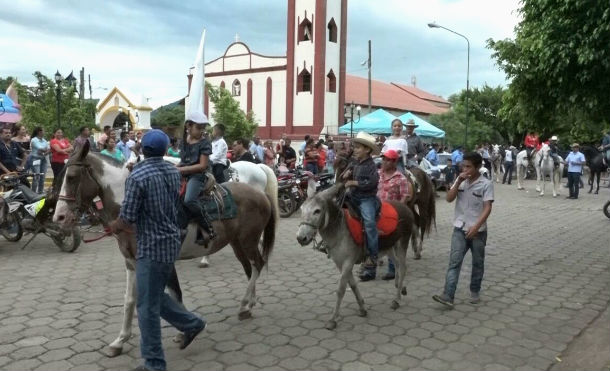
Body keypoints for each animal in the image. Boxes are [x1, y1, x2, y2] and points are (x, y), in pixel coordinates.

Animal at [52, 142, 276, 358]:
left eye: (72, 177)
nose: (59, 217)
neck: (137, 209)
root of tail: (260, 194)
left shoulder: (162, 262)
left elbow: (174, 295)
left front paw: (185, 332)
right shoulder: (131, 262)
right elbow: (129, 300)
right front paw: (120, 340)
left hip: (247, 241)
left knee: (258, 265)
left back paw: (244, 304)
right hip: (238, 243)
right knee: (250, 268)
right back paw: (249, 304)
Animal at [294, 186, 414, 332]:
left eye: (317, 211)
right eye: (301, 209)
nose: (301, 238)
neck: (339, 230)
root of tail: (405, 207)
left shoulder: (348, 262)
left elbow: (341, 290)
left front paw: (333, 319)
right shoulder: (340, 264)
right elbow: (353, 285)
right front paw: (362, 308)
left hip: (402, 242)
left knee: (402, 268)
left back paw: (396, 300)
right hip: (389, 247)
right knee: (396, 264)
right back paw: (400, 287)